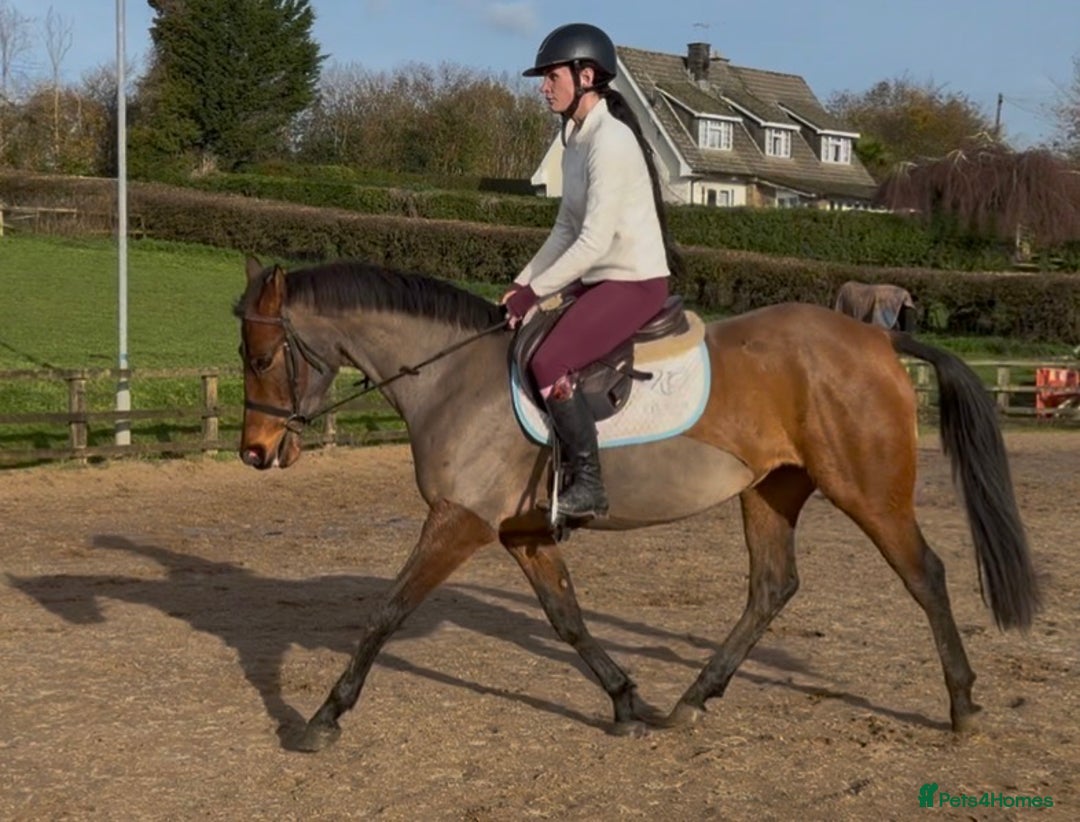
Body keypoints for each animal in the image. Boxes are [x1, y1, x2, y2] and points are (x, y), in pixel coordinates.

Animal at [235, 257, 1039, 753]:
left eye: (261, 356)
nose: (255, 452)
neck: (454, 376)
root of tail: (877, 339)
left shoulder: (459, 522)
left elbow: (387, 613)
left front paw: (322, 718)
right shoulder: (524, 532)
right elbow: (567, 619)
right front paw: (626, 703)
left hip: (867, 490)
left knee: (925, 575)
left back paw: (963, 705)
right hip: (770, 490)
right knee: (771, 587)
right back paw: (693, 700)